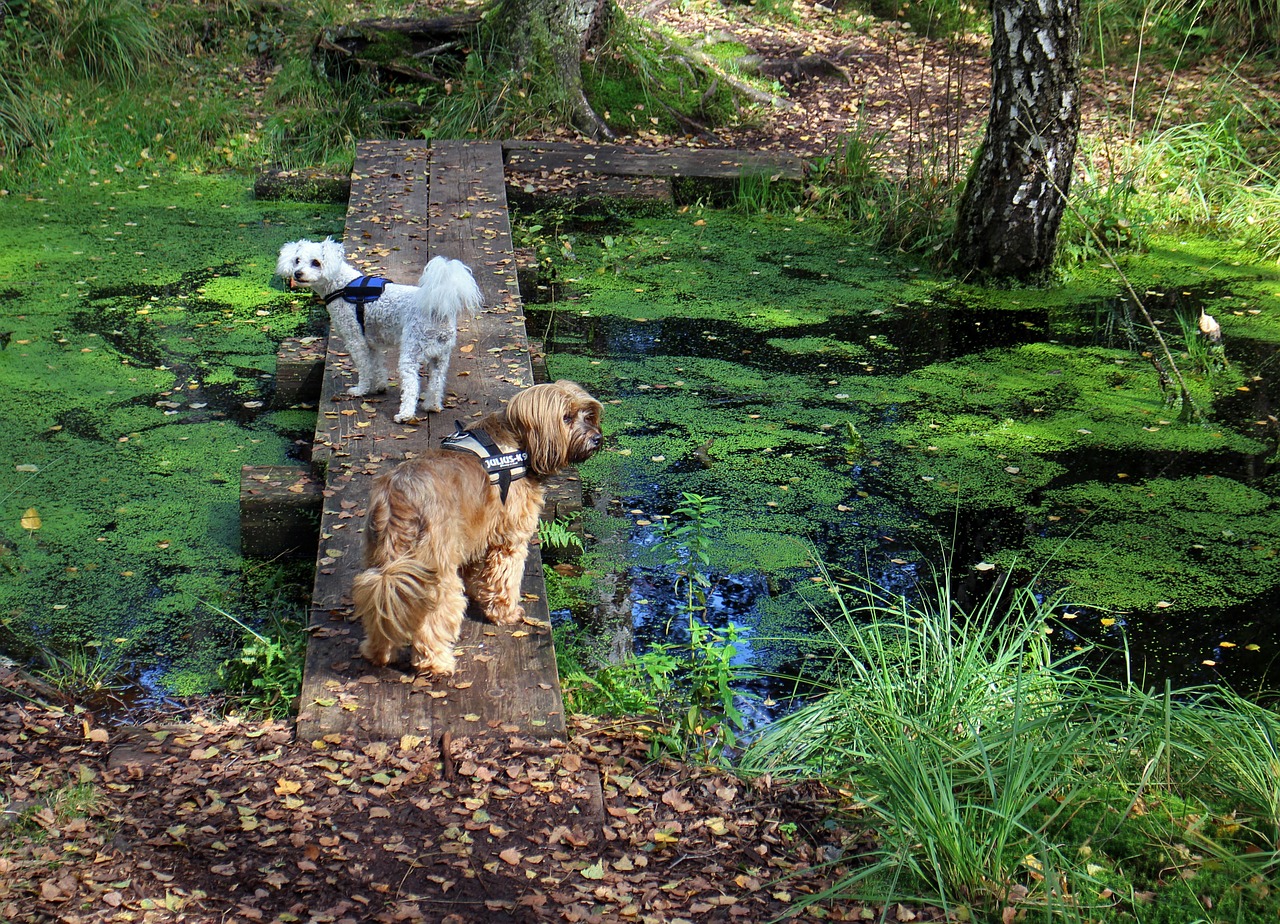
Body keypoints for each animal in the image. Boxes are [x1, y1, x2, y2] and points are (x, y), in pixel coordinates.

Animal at [277, 238, 481, 424]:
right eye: (297, 260)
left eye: (316, 262)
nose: (297, 273)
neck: (341, 286)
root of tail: (438, 309)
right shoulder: (371, 341)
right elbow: (377, 365)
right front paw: (380, 386)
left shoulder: (355, 340)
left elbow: (364, 367)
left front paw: (361, 390)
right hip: (441, 356)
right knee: (437, 382)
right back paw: (432, 405)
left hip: (411, 351)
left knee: (412, 385)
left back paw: (405, 415)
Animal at [353, 378, 601, 670]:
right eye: (566, 417)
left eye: (588, 415)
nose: (597, 438)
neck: (519, 444)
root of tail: (398, 498)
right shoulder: (509, 539)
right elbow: (505, 579)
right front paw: (506, 612)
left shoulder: (476, 533)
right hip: (434, 570)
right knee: (434, 618)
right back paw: (437, 663)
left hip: (386, 564)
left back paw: (379, 651)